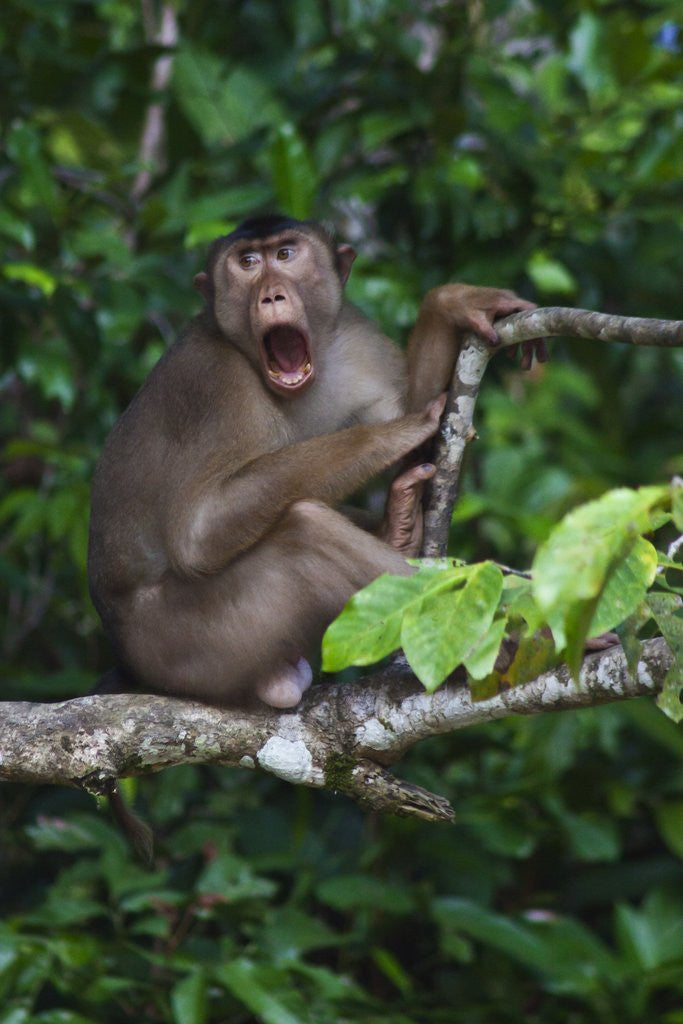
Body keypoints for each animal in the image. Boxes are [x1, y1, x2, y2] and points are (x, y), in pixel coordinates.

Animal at [88, 215, 535, 711]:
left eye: (285, 254)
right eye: (247, 263)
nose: (270, 295)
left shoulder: (355, 338)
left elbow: (404, 420)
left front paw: (451, 303)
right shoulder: (213, 381)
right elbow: (197, 531)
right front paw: (398, 432)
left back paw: (397, 529)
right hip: (194, 644)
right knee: (304, 530)